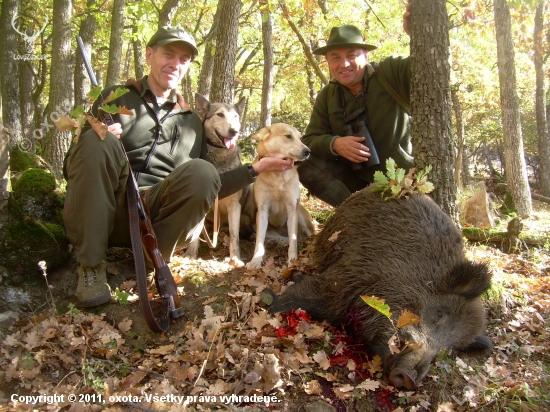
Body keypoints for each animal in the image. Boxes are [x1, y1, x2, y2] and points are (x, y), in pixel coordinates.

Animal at [248, 122, 316, 270]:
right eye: (288, 136)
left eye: (300, 138)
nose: (308, 151)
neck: (277, 176)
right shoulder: (262, 210)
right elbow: (259, 241)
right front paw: (256, 260)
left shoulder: (292, 208)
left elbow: (293, 240)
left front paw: (292, 261)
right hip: (257, 224)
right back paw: (274, 242)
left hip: (300, 214)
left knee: (302, 236)